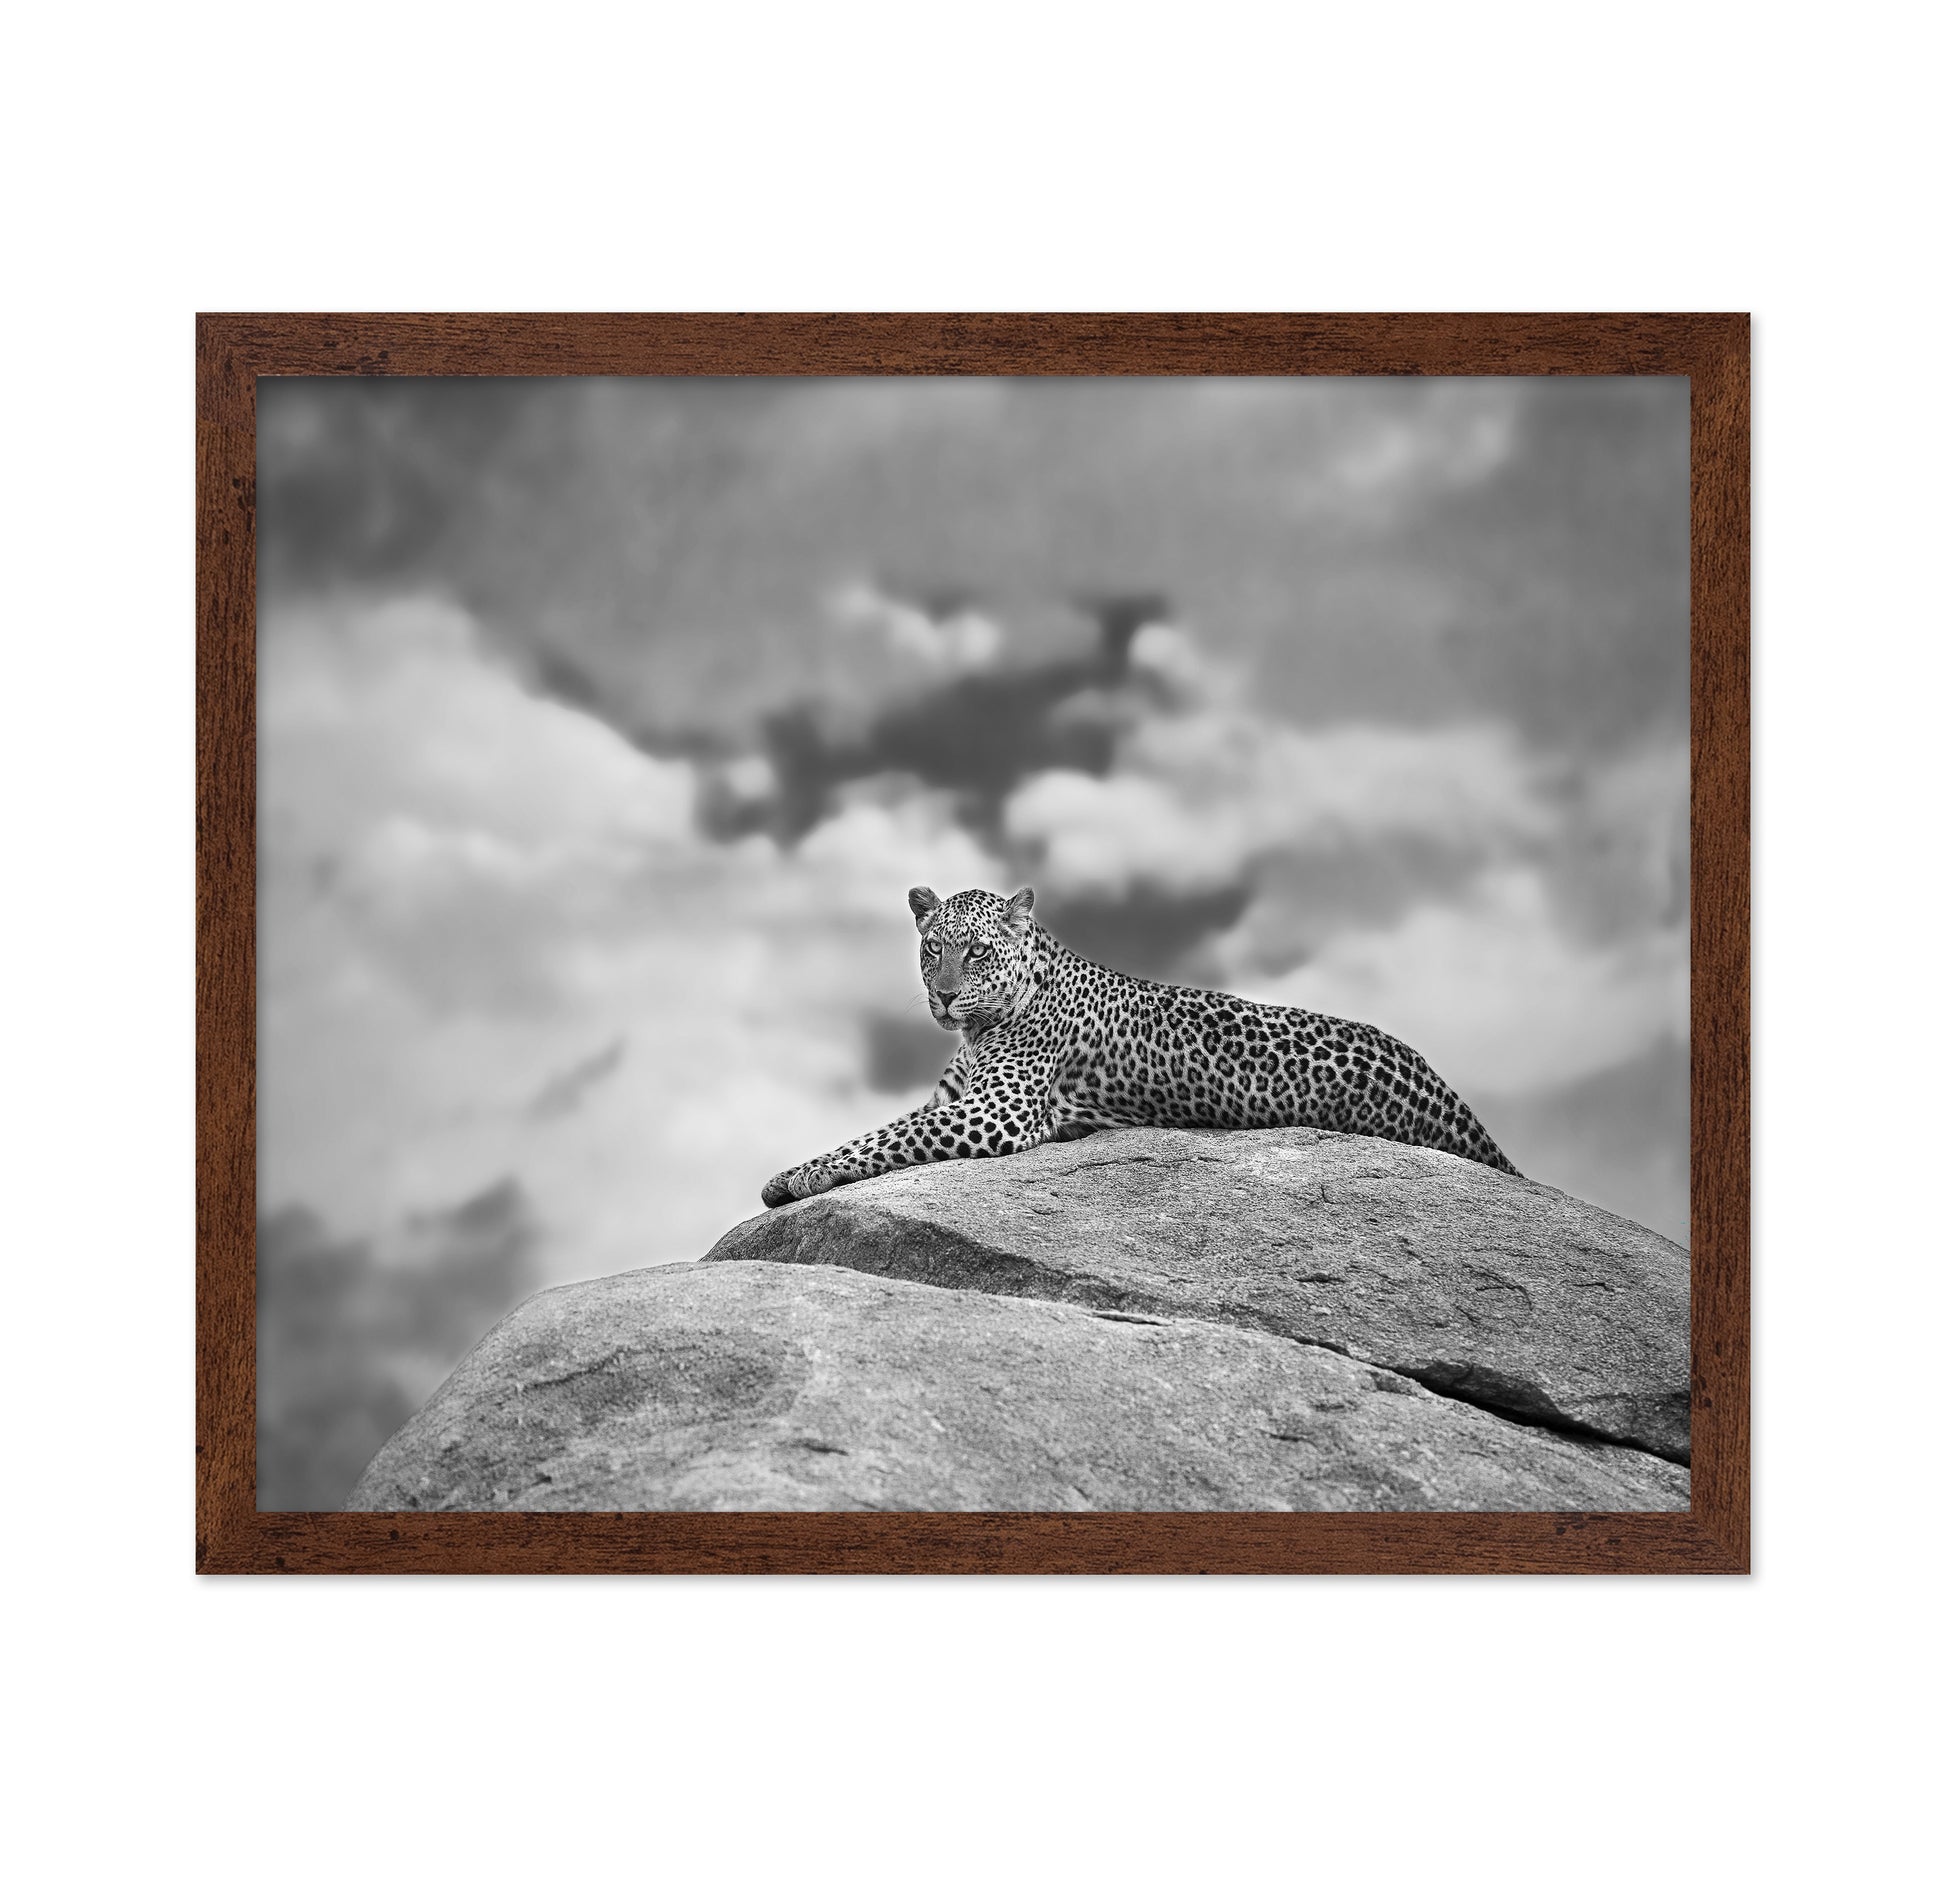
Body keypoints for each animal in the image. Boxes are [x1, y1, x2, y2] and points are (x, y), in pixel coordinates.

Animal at [761, 885, 1519, 1207]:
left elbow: (885, 1138)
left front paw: (797, 1177)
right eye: (932, 950)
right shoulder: (956, 1099)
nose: (944, 997)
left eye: (976, 953)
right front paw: (794, 1172)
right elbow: (879, 1131)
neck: (982, 1027)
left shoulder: (995, 1112)